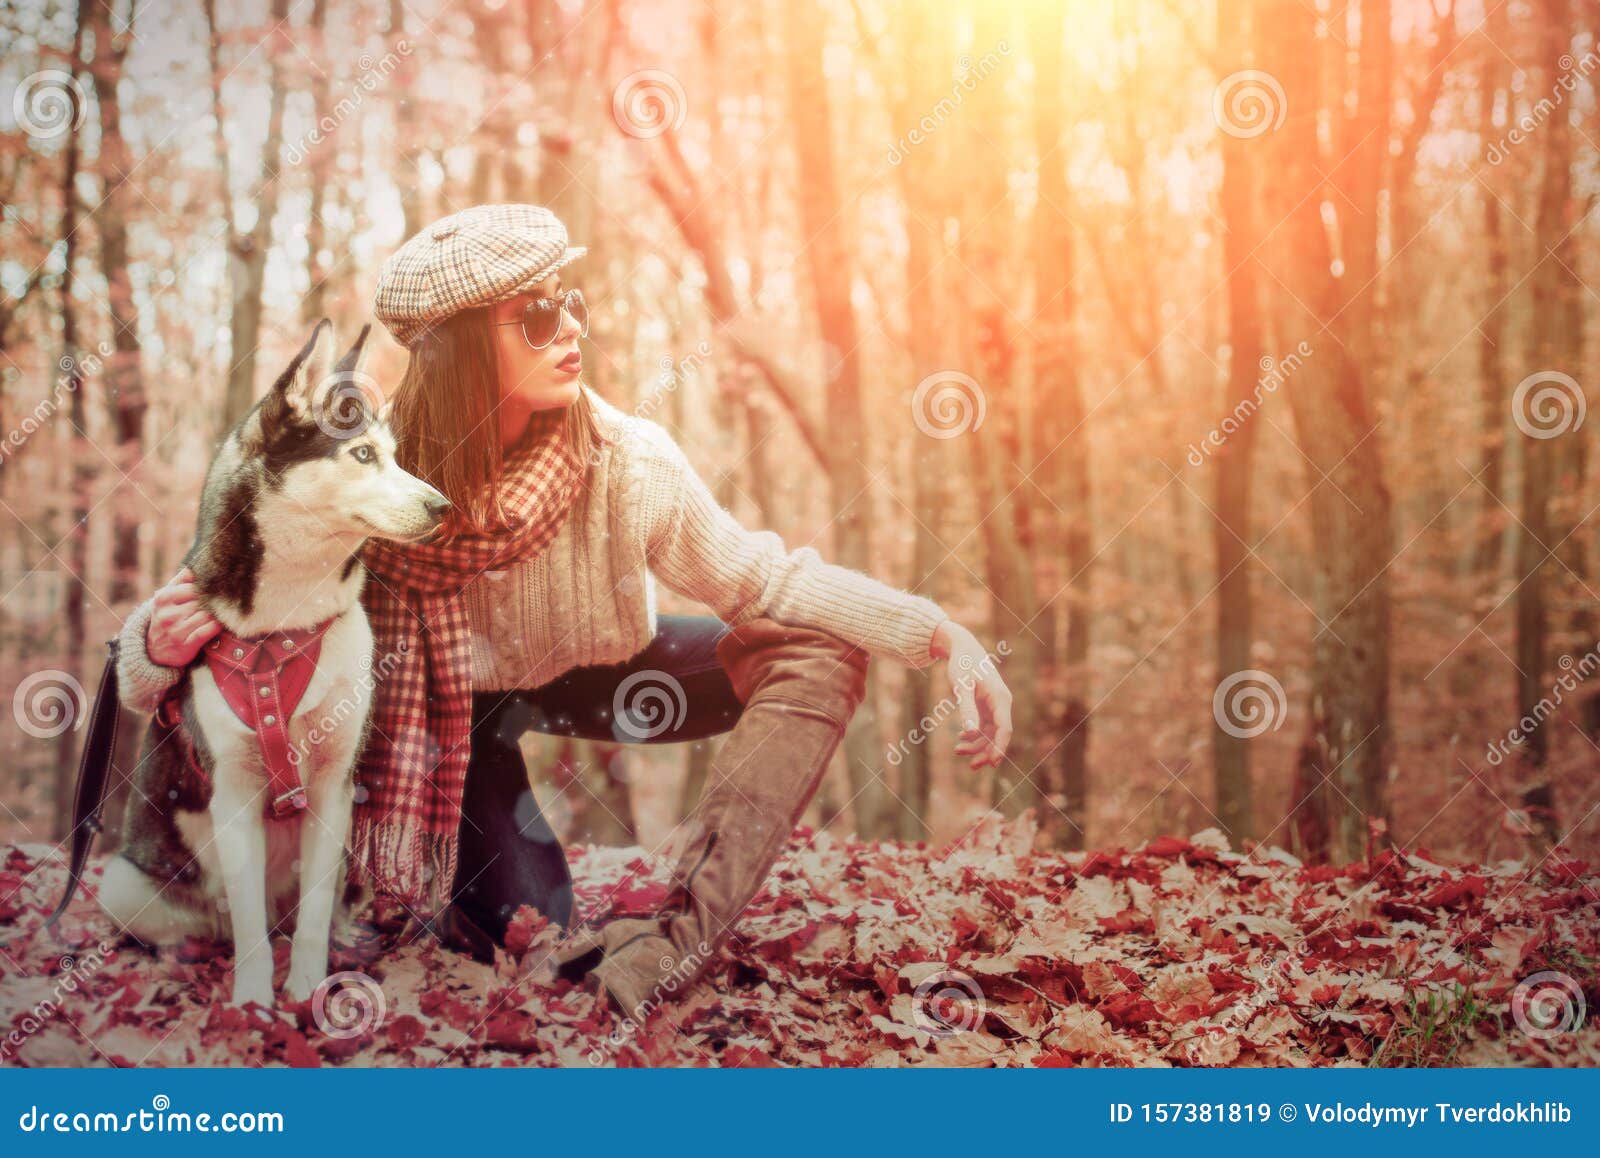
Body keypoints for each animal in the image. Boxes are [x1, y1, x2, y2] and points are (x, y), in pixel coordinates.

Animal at [99, 318, 451, 1004]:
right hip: (122, 884)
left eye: (394, 454)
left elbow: (312, 915)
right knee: (218, 924)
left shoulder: (333, 787)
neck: (284, 623)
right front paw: (254, 1002)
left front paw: (308, 991)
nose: (443, 507)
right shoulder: (234, 792)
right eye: (362, 454)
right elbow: (249, 925)